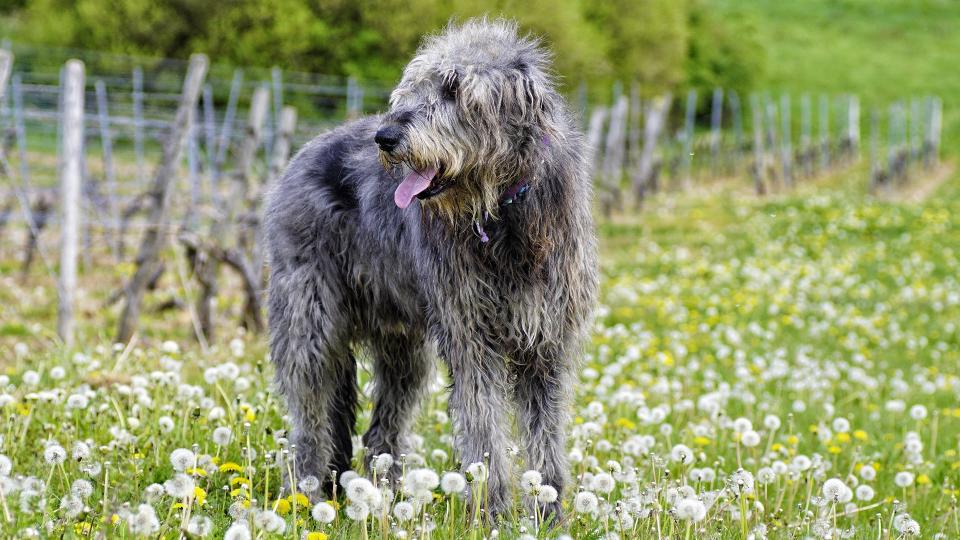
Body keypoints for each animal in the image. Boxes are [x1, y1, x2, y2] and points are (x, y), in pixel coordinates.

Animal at [262, 20, 592, 520]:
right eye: (414, 86)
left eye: (454, 89)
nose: (385, 137)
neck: (501, 213)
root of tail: (304, 151)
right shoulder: (470, 335)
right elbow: (482, 426)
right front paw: (491, 511)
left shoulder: (546, 339)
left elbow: (546, 430)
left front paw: (549, 511)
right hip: (309, 320)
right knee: (310, 415)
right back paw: (307, 493)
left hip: (403, 345)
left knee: (383, 427)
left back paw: (386, 495)